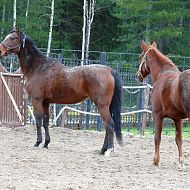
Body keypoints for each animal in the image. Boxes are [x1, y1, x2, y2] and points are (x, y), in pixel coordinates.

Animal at [0, 27, 123, 156]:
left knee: (109, 125)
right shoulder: (46, 102)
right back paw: (102, 150)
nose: (1, 50)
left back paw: (108, 150)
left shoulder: (36, 99)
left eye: (12, 38)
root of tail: (110, 70)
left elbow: (38, 120)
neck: (38, 67)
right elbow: (45, 121)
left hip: (102, 106)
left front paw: (37, 142)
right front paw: (46, 143)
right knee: (107, 126)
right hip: (106, 106)